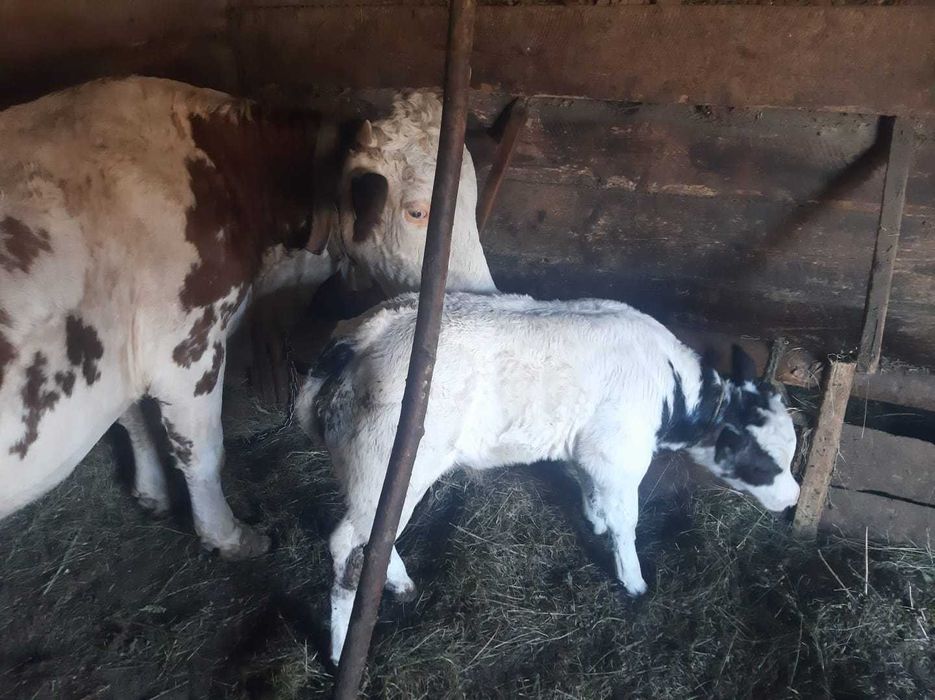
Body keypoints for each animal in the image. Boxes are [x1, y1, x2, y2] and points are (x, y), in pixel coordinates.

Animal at [0, 77, 496, 559]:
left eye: (471, 202)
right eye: (417, 211)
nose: (483, 299)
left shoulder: (120, 358)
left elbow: (133, 421)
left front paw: (152, 493)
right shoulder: (187, 351)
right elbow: (203, 452)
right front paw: (230, 537)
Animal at [295, 292, 800, 662]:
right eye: (762, 461)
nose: (794, 498)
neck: (670, 386)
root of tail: (360, 337)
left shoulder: (588, 448)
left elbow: (589, 490)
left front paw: (594, 521)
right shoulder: (619, 454)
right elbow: (626, 523)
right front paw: (635, 583)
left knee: (376, 536)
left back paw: (399, 585)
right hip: (385, 463)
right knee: (347, 546)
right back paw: (341, 651)